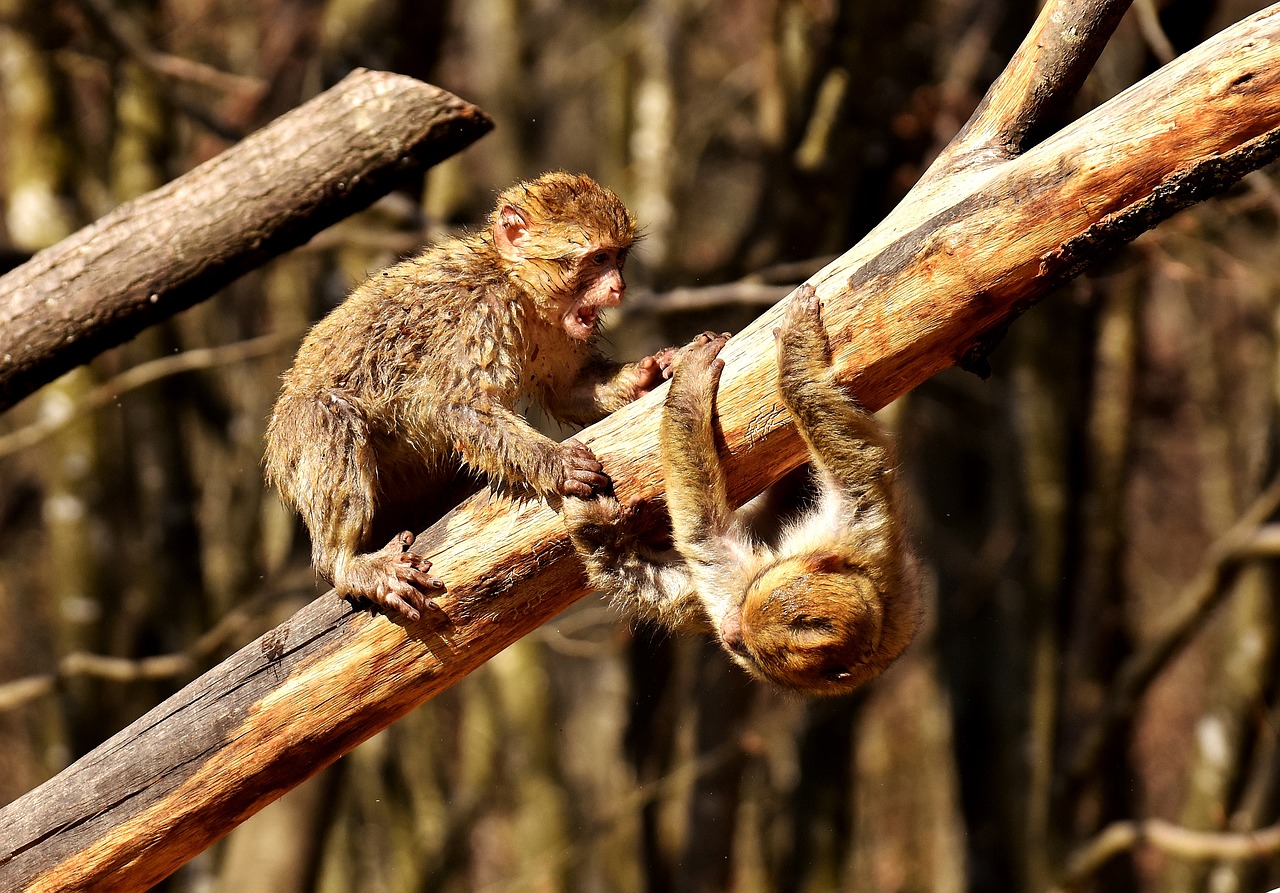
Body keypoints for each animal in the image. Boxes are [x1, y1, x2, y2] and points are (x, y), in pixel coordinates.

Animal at [262, 172, 701, 619]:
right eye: (597, 259)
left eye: (618, 257)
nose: (618, 287)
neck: (514, 284)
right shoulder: (480, 311)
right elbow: (453, 405)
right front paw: (556, 462)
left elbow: (569, 389)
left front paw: (652, 374)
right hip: (291, 440)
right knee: (325, 414)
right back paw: (345, 563)